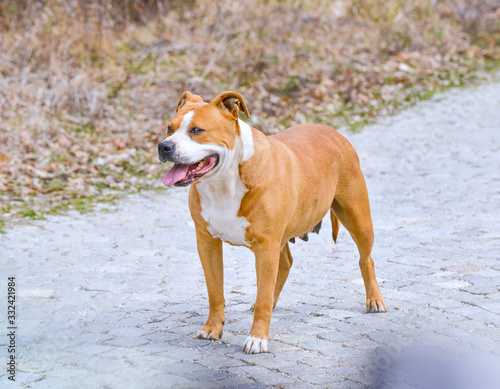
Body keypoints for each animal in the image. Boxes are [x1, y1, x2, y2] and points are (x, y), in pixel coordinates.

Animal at [156, 92, 386, 354]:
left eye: (196, 130)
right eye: (169, 128)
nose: (164, 146)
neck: (224, 181)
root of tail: (335, 132)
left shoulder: (265, 247)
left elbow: (263, 296)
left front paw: (257, 338)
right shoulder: (208, 243)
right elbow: (215, 292)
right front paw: (212, 328)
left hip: (358, 218)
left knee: (365, 258)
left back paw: (375, 300)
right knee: (285, 263)